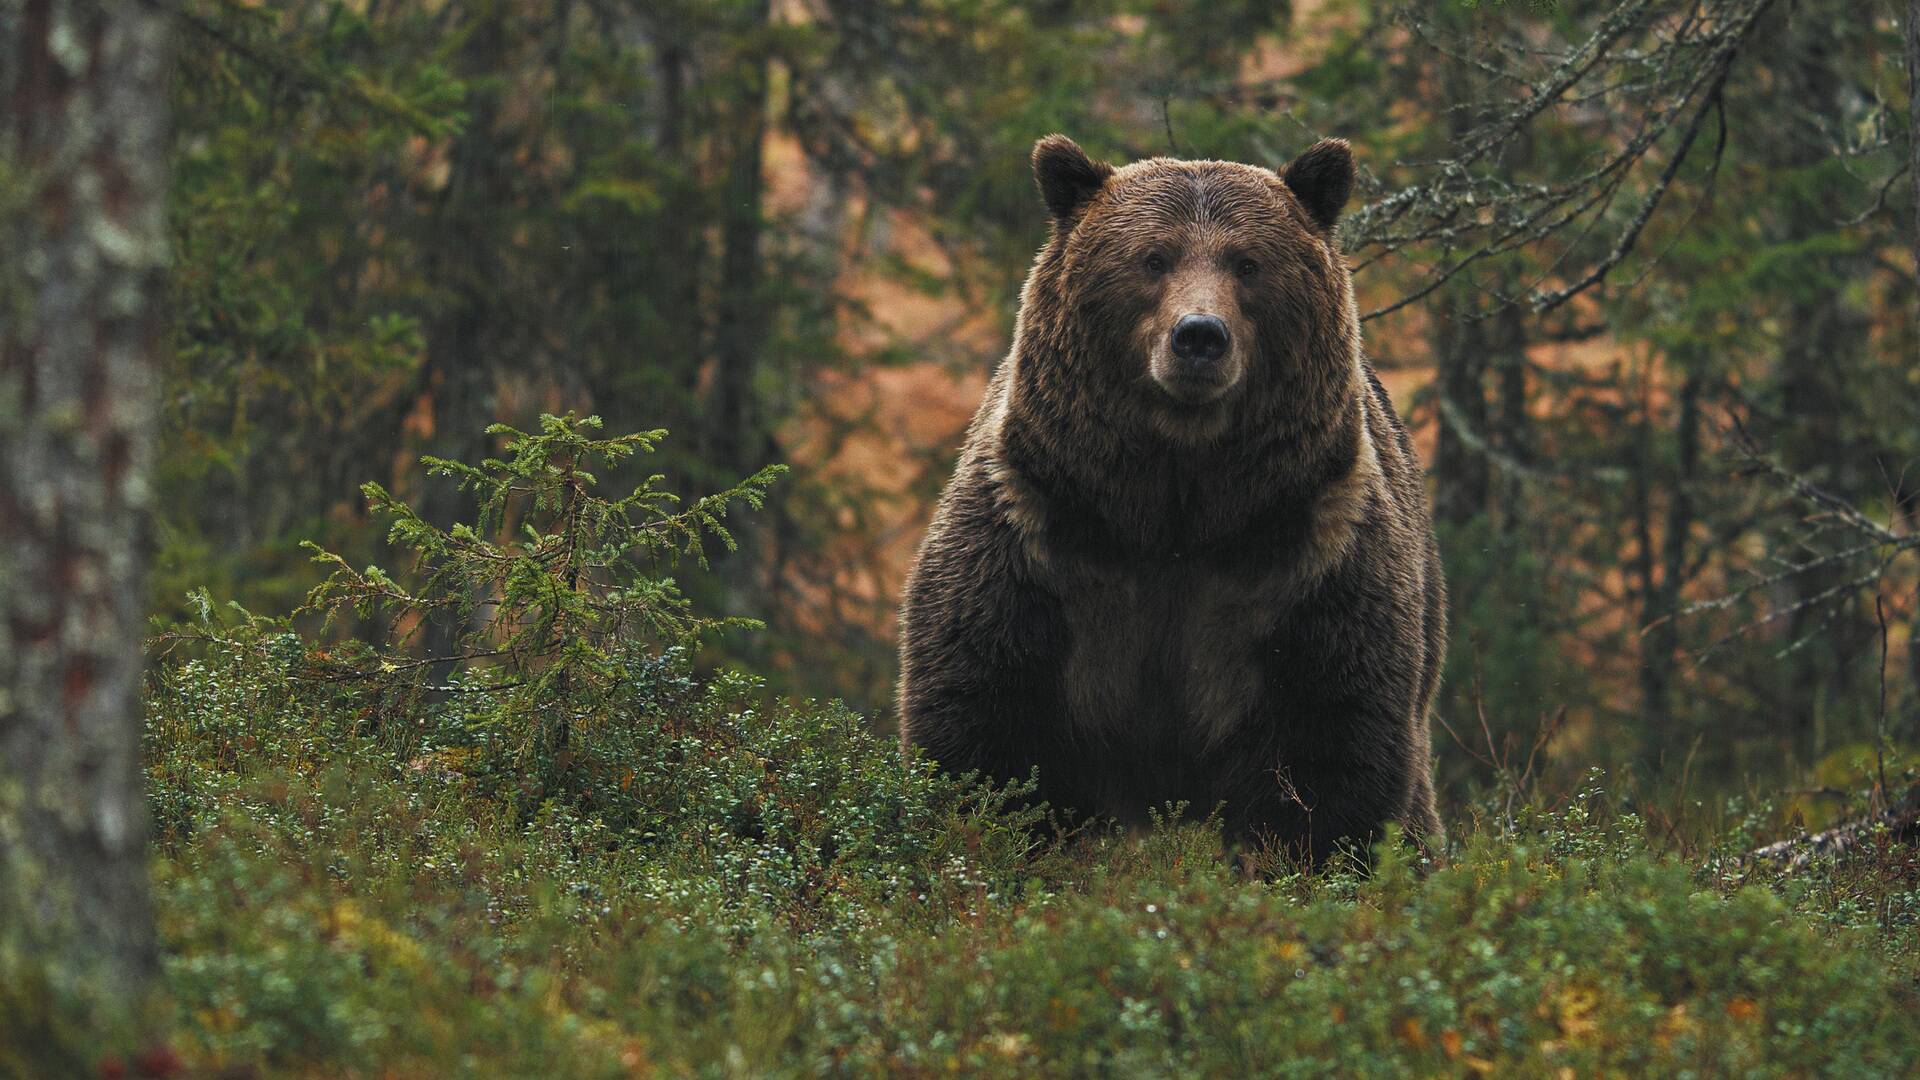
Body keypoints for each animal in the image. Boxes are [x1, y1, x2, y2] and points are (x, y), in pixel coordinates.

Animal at [894, 134, 1443, 860]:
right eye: (1152, 258)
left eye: (1248, 263)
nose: (1199, 336)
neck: (1174, 506)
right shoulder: (1040, 538)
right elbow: (986, 725)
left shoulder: (1307, 555)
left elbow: (1329, 751)